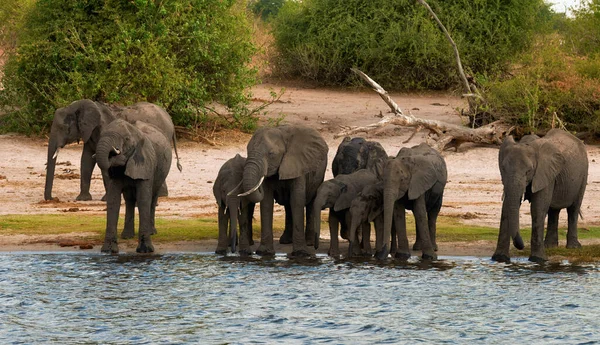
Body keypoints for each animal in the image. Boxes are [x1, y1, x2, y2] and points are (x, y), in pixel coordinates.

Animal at [44, 98, 182, 200]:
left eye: (62, 128)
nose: (53, 199)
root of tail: (169, 119)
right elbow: (86, 160)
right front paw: (82, 199)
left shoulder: (104, 130)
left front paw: (106, 199)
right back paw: (161, 195)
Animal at [95, 119, 171, 253]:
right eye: (101, 134)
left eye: (126, 139)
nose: (113, 152)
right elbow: (113, 200)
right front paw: (108, 251)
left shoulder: (146, 163)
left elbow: (143, 199)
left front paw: (145, 251)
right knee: (129, 199)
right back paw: (127, 236)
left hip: (161, 172)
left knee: (153, 198)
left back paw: (152, 232)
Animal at [237, 123, 328, 255]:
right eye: (247, 151)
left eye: (271, 154)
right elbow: (266, 202)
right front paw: (264, 253)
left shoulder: (298, 164)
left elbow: (297, 201)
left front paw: (300, 253)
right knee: (288, 206)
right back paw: (285, 241)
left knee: (310, 202)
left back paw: (309, 243)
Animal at [492, 128, 592, 260]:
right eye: (503, 169)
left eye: (528, 171)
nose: (521, 246)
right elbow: (506, 207)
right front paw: (499, 259)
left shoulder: (544, 173)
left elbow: (537, 208)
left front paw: (538, 260)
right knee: (553, 210)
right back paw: (550, 246)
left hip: (583, 174)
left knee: (573, 209)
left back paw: (573, 247)